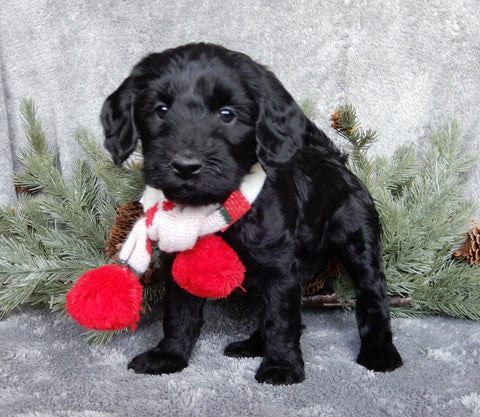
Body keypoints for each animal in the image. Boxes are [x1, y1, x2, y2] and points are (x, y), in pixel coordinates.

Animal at [100, 42, 402, 384]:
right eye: (161, 110)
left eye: (227, 114)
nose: (186, 166)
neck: (212, 209)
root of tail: (330, 159)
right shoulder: (182, 266)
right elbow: (179, 313)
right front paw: (169, 355)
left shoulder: (281, 269)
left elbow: (280, 319)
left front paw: (282, 366)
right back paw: (254, 344)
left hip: (359, 240)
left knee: (372, 294)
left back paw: (380, 352)